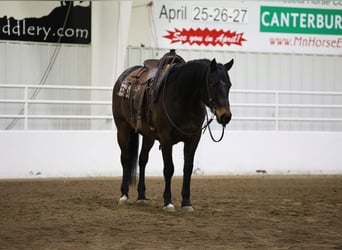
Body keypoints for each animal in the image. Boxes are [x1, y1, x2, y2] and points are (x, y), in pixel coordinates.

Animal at [111, 52, 232, 211]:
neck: (182, 99)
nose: (226, 116)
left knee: (143, 160)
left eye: (229, 85)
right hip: (123, 128)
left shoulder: (193, 139)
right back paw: (124, 195)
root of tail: (123, 76)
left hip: (148, 136)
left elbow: (188, 168)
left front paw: (186, 202)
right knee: (125, 158)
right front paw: (168, 202)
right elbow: (169, 169)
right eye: (213, 84)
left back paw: (141, 196)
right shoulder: (166, 139)